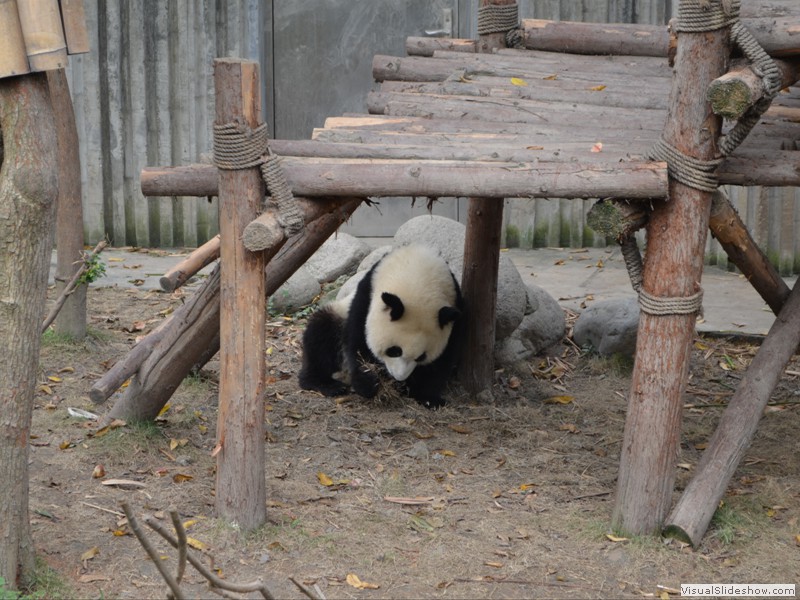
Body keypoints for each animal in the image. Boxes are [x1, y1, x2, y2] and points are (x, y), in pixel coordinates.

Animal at [298, 244, 462, 408]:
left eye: (421, 357)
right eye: (394, 351)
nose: (399, 377)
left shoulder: (455, 311)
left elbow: (442, 360)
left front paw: (427, 397)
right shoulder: (366, 295)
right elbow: (357, 341)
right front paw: (369, 383)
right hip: (338, 314)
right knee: (320, 337)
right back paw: (326, 384)